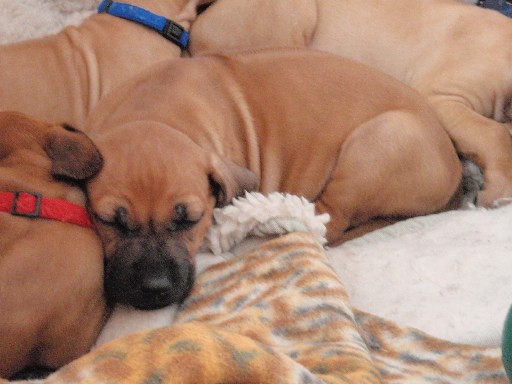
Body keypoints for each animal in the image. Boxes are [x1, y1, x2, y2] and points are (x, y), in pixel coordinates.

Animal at [84, 48, 464, 312]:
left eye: (191, 220)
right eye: (110, 222)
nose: (155, 287)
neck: (155, 110)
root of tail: (455, 165)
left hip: (378, 144)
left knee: (325, 224)